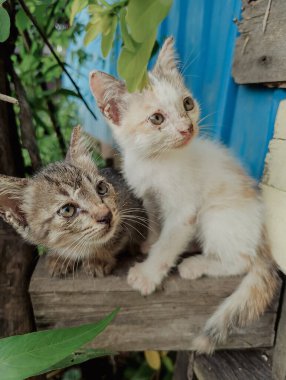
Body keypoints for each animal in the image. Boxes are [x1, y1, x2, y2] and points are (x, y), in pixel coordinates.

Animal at [0, 126, 146, 278]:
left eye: (101, 188)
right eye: (67, 210)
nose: (107, 215)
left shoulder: (130, 209)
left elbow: (115, 238)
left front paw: (98, 258)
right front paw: (61, 257)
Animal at [89, 37, 278, 354]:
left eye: (187, 104)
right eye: (156, 118)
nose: (187, 128)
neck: (155, 162)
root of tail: (264, 242)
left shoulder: (184, 213)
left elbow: (168, 245)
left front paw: (148, 274)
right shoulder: (150, 198)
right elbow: (156, 224)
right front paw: (150, 243)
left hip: (216, 215)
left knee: (241, 260)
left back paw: (197, 264)